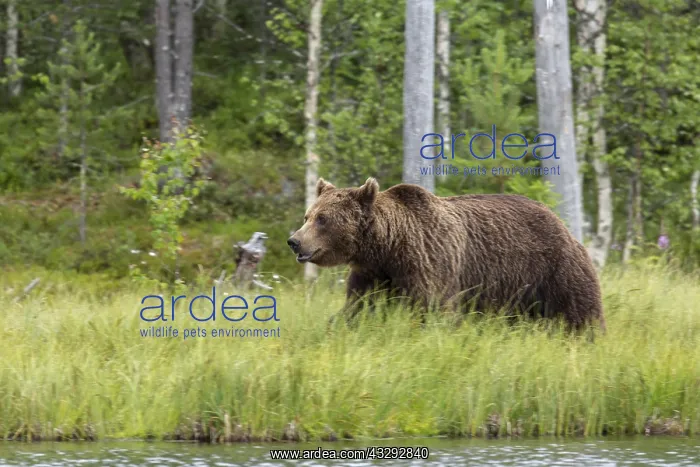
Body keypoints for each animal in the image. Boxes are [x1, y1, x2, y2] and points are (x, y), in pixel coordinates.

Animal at [287, 177, 606, 333]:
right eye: (308, 215)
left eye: (323, 219)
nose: (294, 241)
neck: (387, 246)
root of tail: (564, 225)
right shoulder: (373, 274)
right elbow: (357, 309)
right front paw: (335, 326)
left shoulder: (428, 261)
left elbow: (433, 309)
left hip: (553, 271)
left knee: (580, 312)